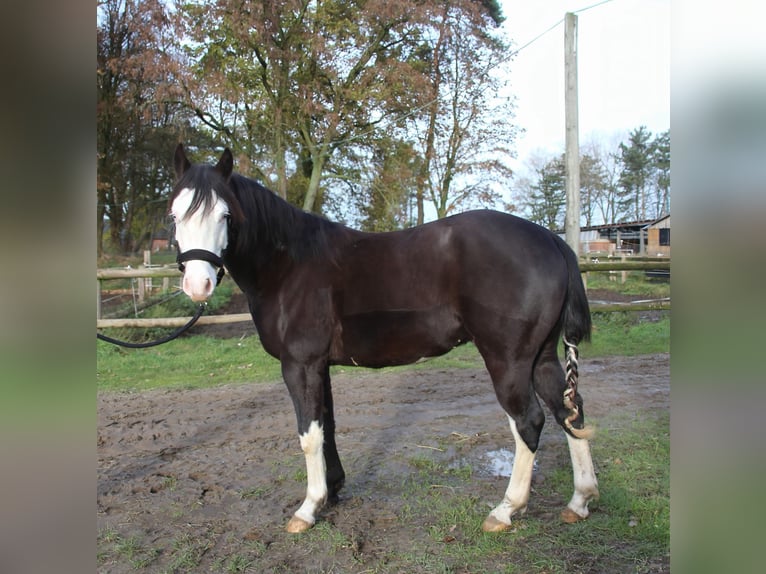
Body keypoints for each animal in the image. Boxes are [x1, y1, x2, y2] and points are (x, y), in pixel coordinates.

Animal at [169, 144, 599, 533]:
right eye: (175, 214)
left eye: (225, 215)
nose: (197, 285)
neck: (288, 264)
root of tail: (551, 240)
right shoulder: (319, 366)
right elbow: (327, 426)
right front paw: (332, 492)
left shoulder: (299, 365)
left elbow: (308, 434)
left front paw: (308, 508)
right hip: (541, 357)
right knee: (569, 410)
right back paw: (579, 501)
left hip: (508, 359)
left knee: (529, 421)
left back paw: (506, 509)